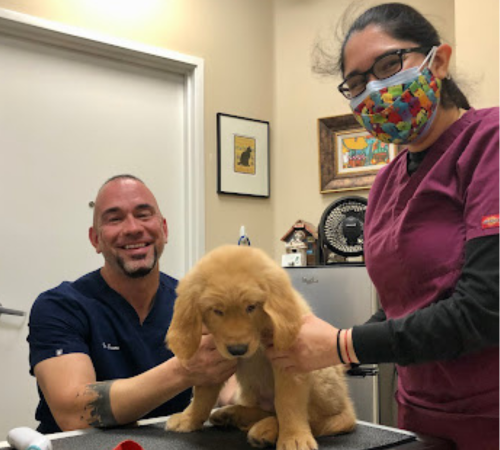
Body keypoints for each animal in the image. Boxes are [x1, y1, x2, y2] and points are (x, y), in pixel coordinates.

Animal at [166, 246, 358, 450]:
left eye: (251, 307)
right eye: (217, 311)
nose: (238, 350)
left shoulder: (290, 360)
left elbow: (288, 402)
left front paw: (294, 437)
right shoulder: (213, 362)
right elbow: (203, 395)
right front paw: (189, 419)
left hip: (320, 374)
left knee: (324, 418)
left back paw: (266, 429)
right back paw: (233, 415)